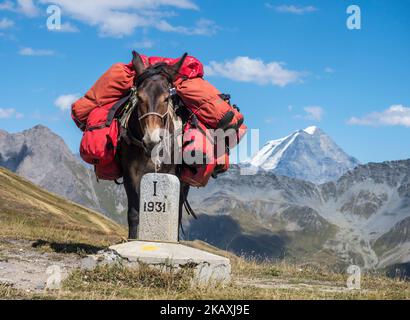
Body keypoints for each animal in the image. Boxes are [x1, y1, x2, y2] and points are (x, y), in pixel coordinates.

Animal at [117, 51, 190, 239]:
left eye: (166, 98)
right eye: (139, 97)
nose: (152, 141)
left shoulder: (169, 173)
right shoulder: (130, 174)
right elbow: (134, 213)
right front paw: (132, 239)